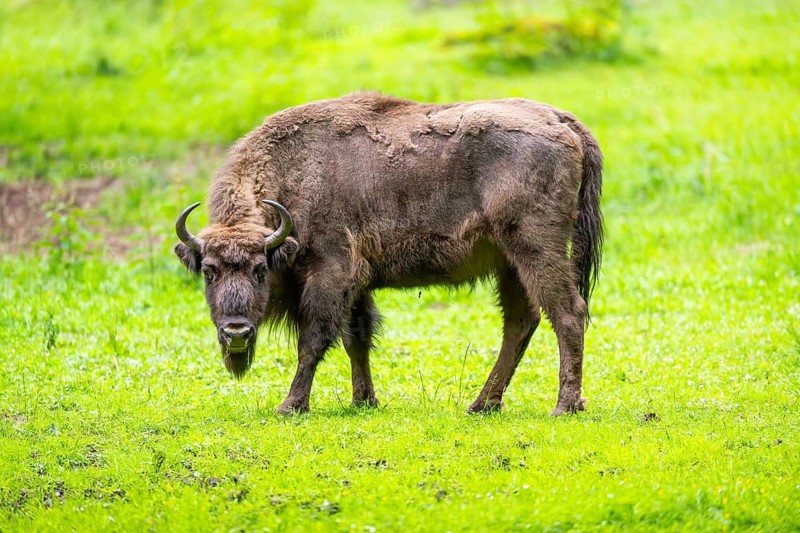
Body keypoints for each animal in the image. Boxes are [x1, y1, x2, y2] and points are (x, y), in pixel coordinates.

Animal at [174, 92, 603, 415]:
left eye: (260, 269)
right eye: (209, 271)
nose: (236, 333)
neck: (294, 176)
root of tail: (560, 119)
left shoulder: (331, 273)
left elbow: (313, 340)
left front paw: (291, 406)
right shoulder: (357, 285)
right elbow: (356, 339)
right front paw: (364, 400)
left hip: (535, 247)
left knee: (567, 313)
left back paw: (564, 405)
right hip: (508, 262)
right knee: (520, 323)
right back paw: (482, 404)